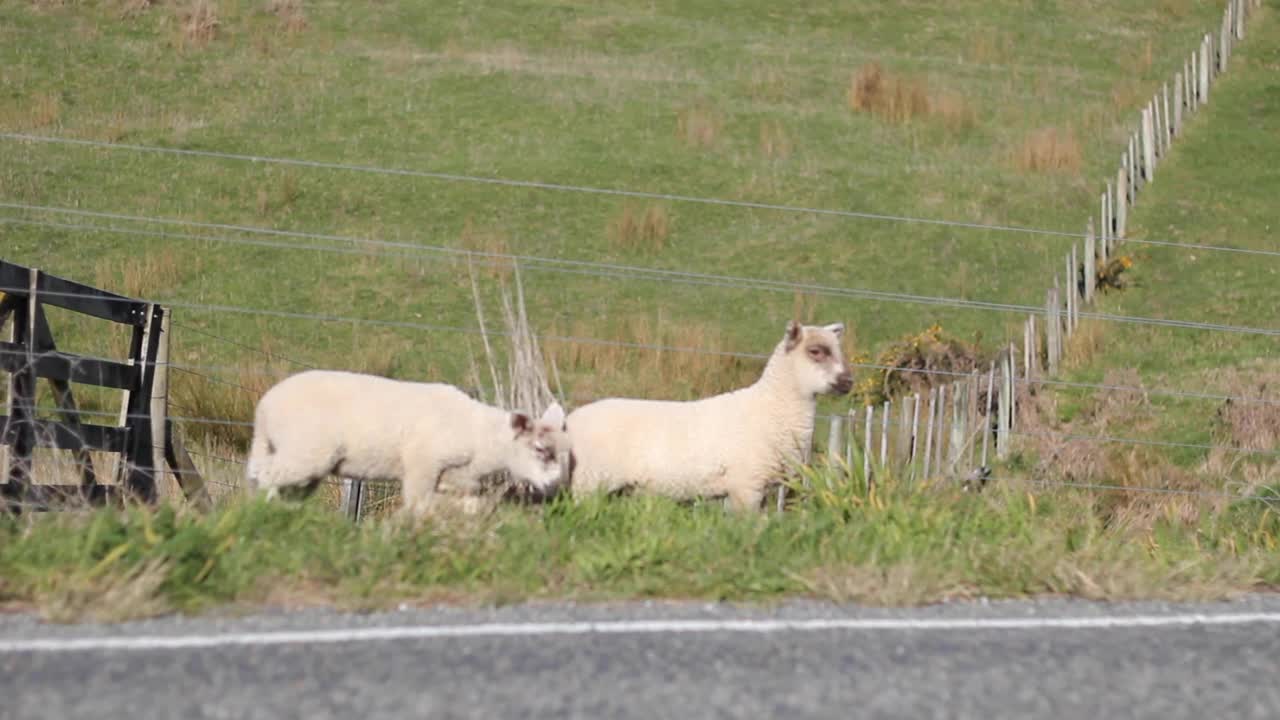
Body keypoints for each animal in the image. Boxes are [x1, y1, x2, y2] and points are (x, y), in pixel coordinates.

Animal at [244, 366, 570, 512]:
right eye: (539, 449)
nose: (555, 486)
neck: (481, 437)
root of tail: (265, 407)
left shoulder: (454, 480)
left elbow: (467, 506)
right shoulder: (423, 463)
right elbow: (418, 504)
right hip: (305, 451)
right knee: (267, 477)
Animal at [568, 319, 849, 509]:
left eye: (839, 350)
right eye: (816, 351)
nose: (849, 382)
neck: (769, 407)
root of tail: (568, 421)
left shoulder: (760, 488)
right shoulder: (746, 486)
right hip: (587, 482)